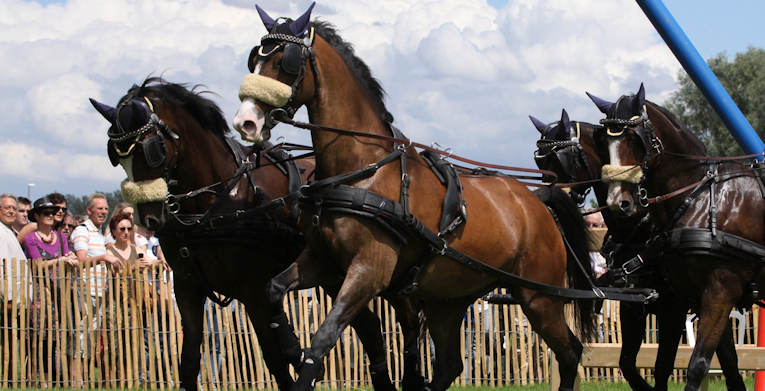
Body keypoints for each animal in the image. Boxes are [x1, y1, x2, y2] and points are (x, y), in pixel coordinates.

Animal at [92, 76, 420, 391]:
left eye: (153, 150)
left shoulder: (253, 290)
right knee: (371, 325)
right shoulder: (187, 288)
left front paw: (301, 359)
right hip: (335, 275)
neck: (215, 202)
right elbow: (189, 360)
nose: (150, 217)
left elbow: (275, 357)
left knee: (403, 316)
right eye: (116, 155)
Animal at [236, 4, 600, 390]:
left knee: (570, 352)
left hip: (539, 297)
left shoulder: (369, 271)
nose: (246, 121)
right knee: (450, 365)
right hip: (449, 299)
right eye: (254, 60)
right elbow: (274, 288)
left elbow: (321, 340)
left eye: (284, 62)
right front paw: (289, 346)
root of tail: (538, 201)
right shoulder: (322, 261)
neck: (364, 170)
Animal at [536, 108, 744, 391]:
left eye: (562, 159)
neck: (641, 228)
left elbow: (662, 366)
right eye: (540, 162)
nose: (547, 205)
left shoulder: (673, 308)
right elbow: (627, 363)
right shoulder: (632, 306)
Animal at [584, 83, 760, 391]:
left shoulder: (719, 290)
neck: (700, 198)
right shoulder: (689, 295)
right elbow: (726, 363)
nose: (620, 201)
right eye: (604, 142)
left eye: (635, 138)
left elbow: (697, 365)